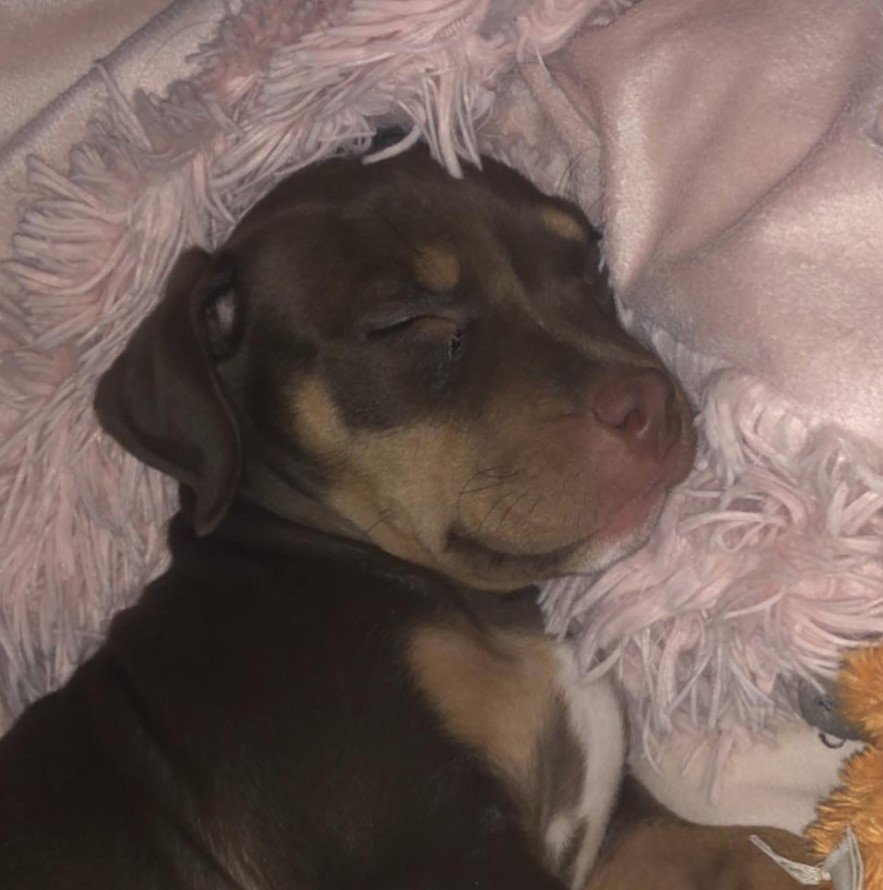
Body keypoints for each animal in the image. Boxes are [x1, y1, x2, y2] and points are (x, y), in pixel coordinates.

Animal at [0, 146, 812, 880]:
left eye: (591, 265)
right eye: (405, 321)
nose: (651, 403)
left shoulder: (615, 827)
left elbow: (732, 847)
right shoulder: (430, 841)